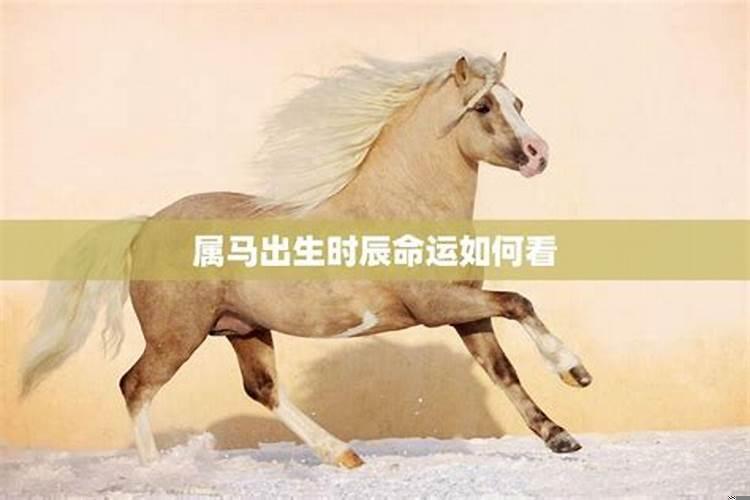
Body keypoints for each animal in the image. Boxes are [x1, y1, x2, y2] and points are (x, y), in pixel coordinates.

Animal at [20, 52, 591, 469]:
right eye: (483, 108)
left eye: (519, 101)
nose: (539, 154)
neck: (403, 205)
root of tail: (146, 224)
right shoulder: (437, 305)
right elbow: (519, 302)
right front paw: (574, 371)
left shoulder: (465, 309)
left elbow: (503, 368)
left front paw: (560, 436)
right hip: (176, 335)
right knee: (136, 386)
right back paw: (154, 469)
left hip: (244, 329)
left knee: (263, 389)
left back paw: (343, 455)